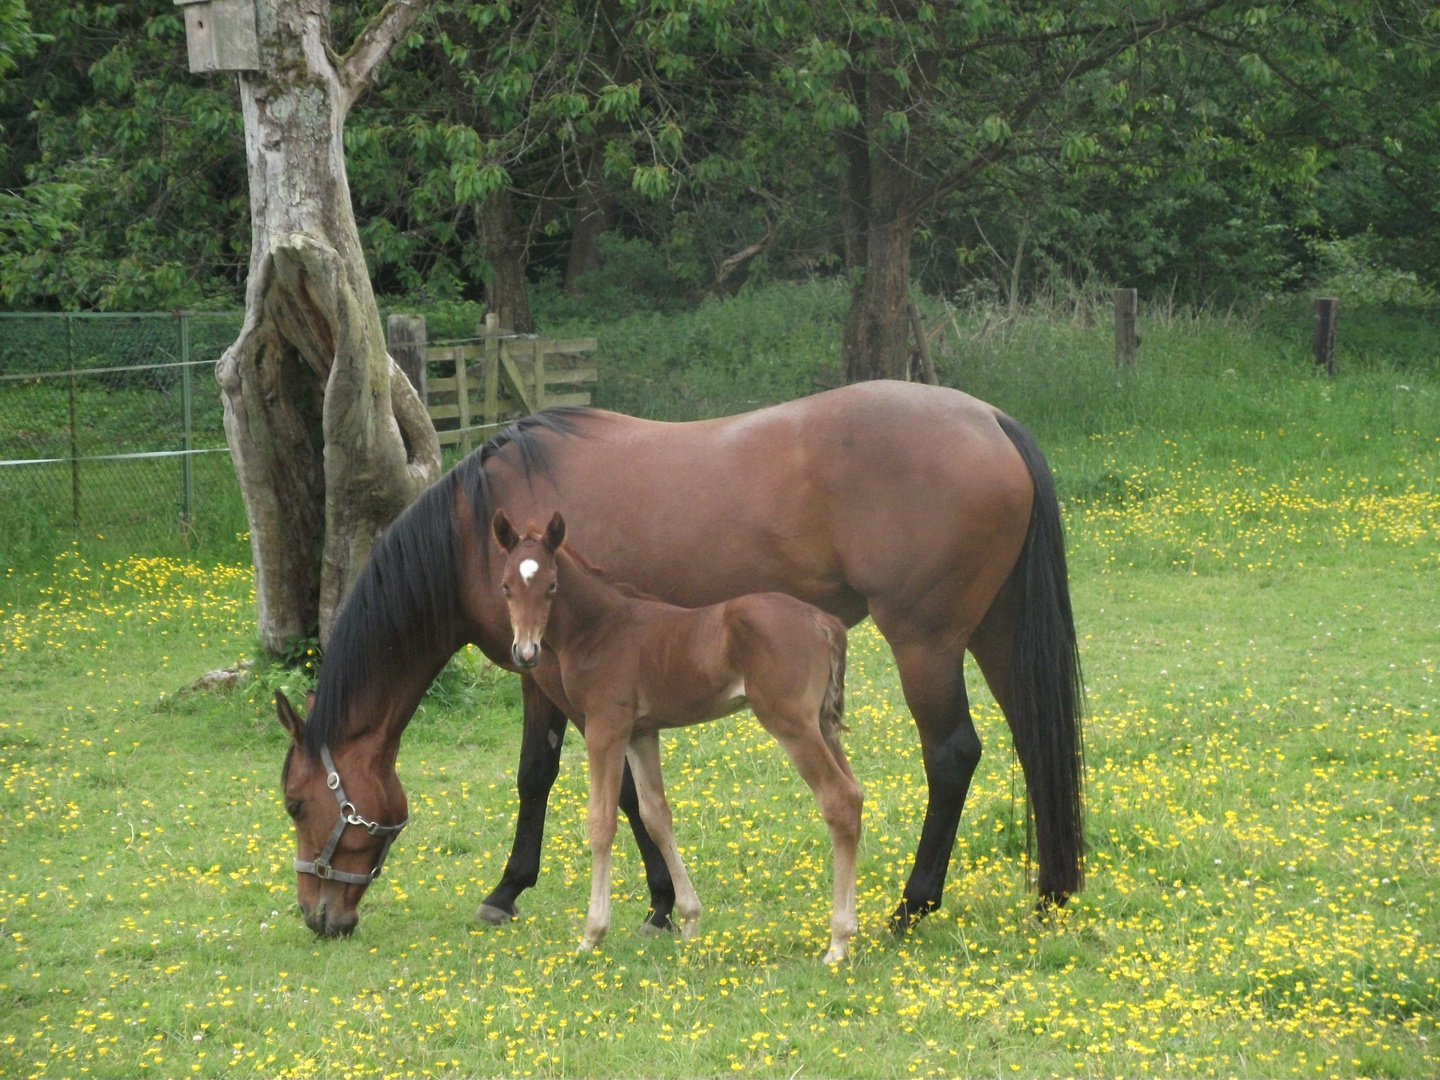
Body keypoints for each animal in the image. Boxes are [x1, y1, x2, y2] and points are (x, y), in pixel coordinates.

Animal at [489, 512, 858, 961]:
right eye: (506, 586)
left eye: (552, 586)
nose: (525, 653)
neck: (601, 630)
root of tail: (823, 622)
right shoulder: (641, 734)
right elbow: (656, 816)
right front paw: (689, 919)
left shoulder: (605, 728)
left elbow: (601, 821)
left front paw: (592, 934)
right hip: (822, 725)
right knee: (856, 795)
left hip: (791, 723)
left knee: (838, 799)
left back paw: (838, 941)